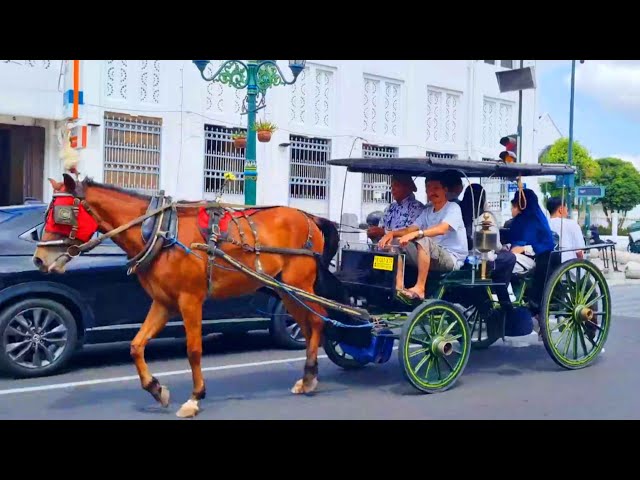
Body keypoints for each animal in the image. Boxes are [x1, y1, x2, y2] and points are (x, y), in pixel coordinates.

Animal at [32, 174, 352, 418]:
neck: (159, 232)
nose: (38, 260)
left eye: (60, 215)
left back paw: (309, 375)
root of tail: (309, 216)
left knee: (318, 321)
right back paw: (308, 377)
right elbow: (136, 346)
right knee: (309, 326)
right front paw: (156, 389)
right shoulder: (163, 303)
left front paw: (195, 397)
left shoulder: (190, 300)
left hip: (300, 284)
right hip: (285, 290)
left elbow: (194, 350)